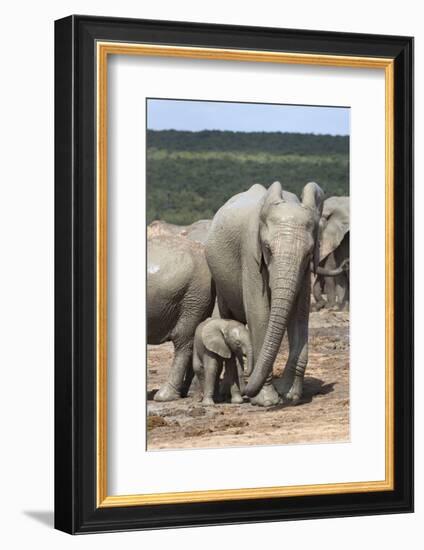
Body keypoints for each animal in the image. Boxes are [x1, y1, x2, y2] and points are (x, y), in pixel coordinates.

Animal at [205, 183, 348, 408]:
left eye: (309, 252)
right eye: (268, 249)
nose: (248, 390)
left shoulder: (304, 270)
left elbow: (299, 315)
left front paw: (290, 395)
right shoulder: (250, 253)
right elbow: (259, 314)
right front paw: (266, 401)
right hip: (219, 278)